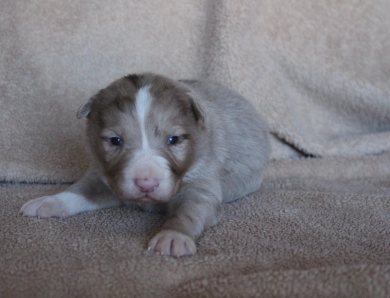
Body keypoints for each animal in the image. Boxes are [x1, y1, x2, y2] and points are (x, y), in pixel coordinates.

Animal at [19, 73, 270, 258]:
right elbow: (80, 191)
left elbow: (192, 209)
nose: (146, 183)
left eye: (174, 140)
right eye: (115, 141)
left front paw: (173, 236)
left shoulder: (202, 180)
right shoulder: (103, 176)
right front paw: (49, 202)